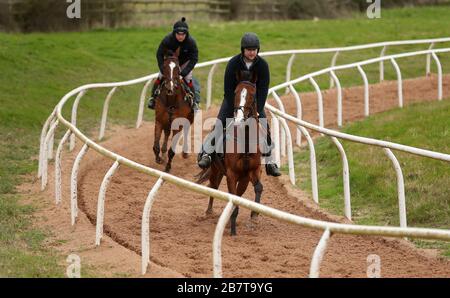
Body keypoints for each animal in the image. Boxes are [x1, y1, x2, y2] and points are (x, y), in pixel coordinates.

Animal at [197, 70, 264, 235]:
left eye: (252, 94)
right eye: (235, 92)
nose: (239, 119)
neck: (245, 142)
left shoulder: (250, 173)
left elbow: (257, 188)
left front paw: (254, 217)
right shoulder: (232, 174)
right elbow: (232, 197)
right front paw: (232, 228)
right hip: (216, 169)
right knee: (213, 186)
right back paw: (208, 212)